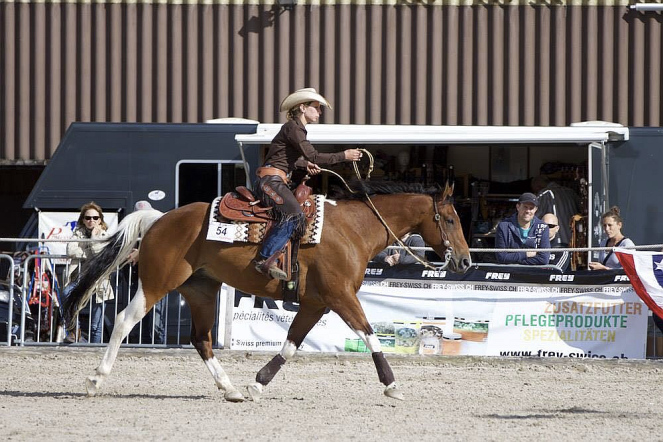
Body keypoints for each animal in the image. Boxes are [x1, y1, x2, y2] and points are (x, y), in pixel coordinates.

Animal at [59, 180, 470, 404]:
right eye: (450, 219)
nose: (465, 261)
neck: (353, 228)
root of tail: (160, 219)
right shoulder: (340, 297)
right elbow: (370, 335)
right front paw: (393, 386)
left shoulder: (315, 303)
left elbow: (290, 344)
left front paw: (257, 384)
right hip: (158, 283)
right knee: (125, 321)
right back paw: (95, 380)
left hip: (202, 290)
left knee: (201, 339)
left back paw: (230, 389)